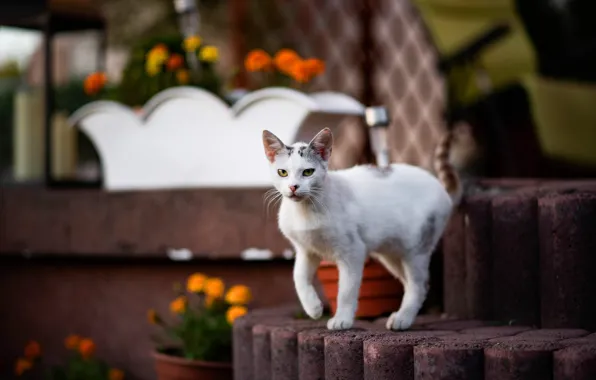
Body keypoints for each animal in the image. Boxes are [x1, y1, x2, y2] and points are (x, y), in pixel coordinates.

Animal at [264, 127, 464, 330]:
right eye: (282, 172)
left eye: (308, 172)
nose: (293, 187)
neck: (305, 211)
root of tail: (442, 188)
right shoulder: (306, 250)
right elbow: (298, 278)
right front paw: (313, 308)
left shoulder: (353, 251)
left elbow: (346, 290)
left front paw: (342, 320)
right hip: (392, 254)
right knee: (410, 283)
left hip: (416, 251)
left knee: (419, 285)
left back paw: (403, 318)